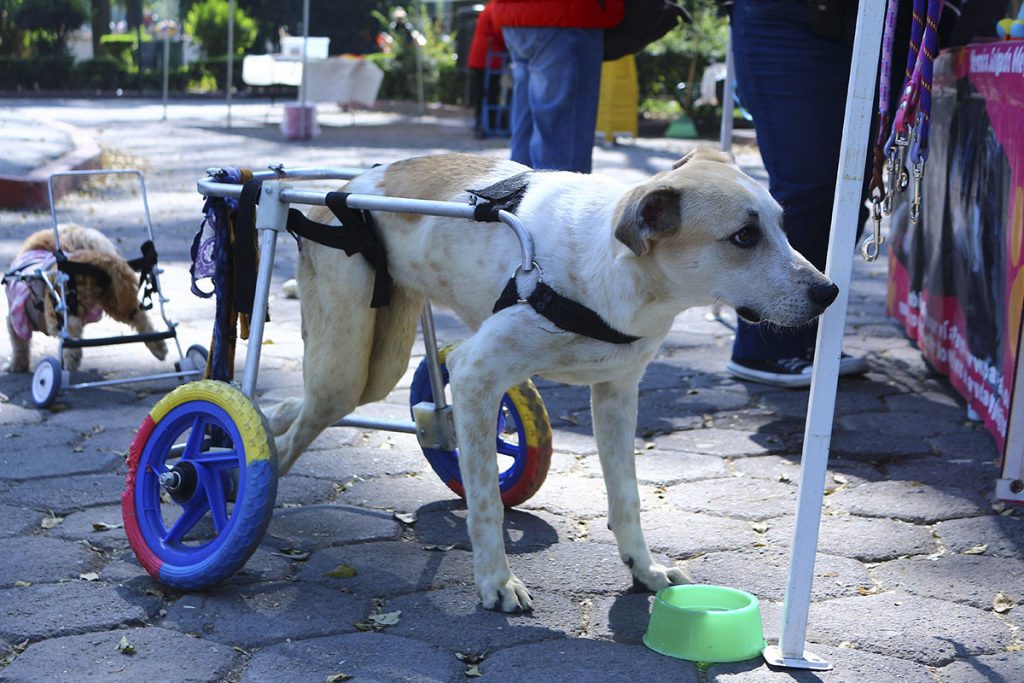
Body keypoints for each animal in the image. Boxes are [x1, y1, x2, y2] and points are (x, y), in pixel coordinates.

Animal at [4, 225, 167, 374]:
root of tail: (95, 262)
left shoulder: (15, 322)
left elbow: (19, 346)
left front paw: (15, 366)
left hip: (59, 310)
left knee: (71, 334)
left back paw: (71, 362)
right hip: (118, 301)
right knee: (140, 319)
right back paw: (159, 348)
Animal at [266, 149, 839, 614]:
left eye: (782, 227)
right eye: (744, 236)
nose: (830, 292)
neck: (615, 269)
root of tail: (345, 187)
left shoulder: (617, 394)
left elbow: (626, 498)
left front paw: (643, 569)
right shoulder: (475, 375)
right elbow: (486, 504)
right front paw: (496, 582)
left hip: (375, 362)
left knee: (303, 409)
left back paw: (271, 420)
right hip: (348, 362)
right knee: (303, 425)